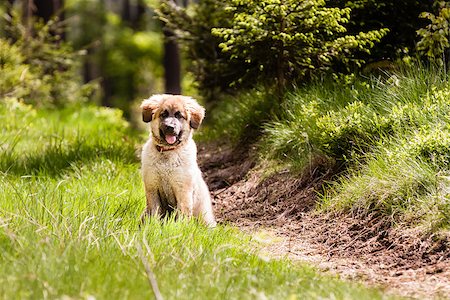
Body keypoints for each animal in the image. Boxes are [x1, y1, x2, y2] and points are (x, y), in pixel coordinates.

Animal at [142, 95, 217, 226]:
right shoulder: (152, 188)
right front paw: (152, 226)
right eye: (163, 114)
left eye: (179, 116)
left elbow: (183, 213)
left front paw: (180, 227)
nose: (170, 127)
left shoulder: (183, 190)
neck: (167, 152)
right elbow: (154, 211)